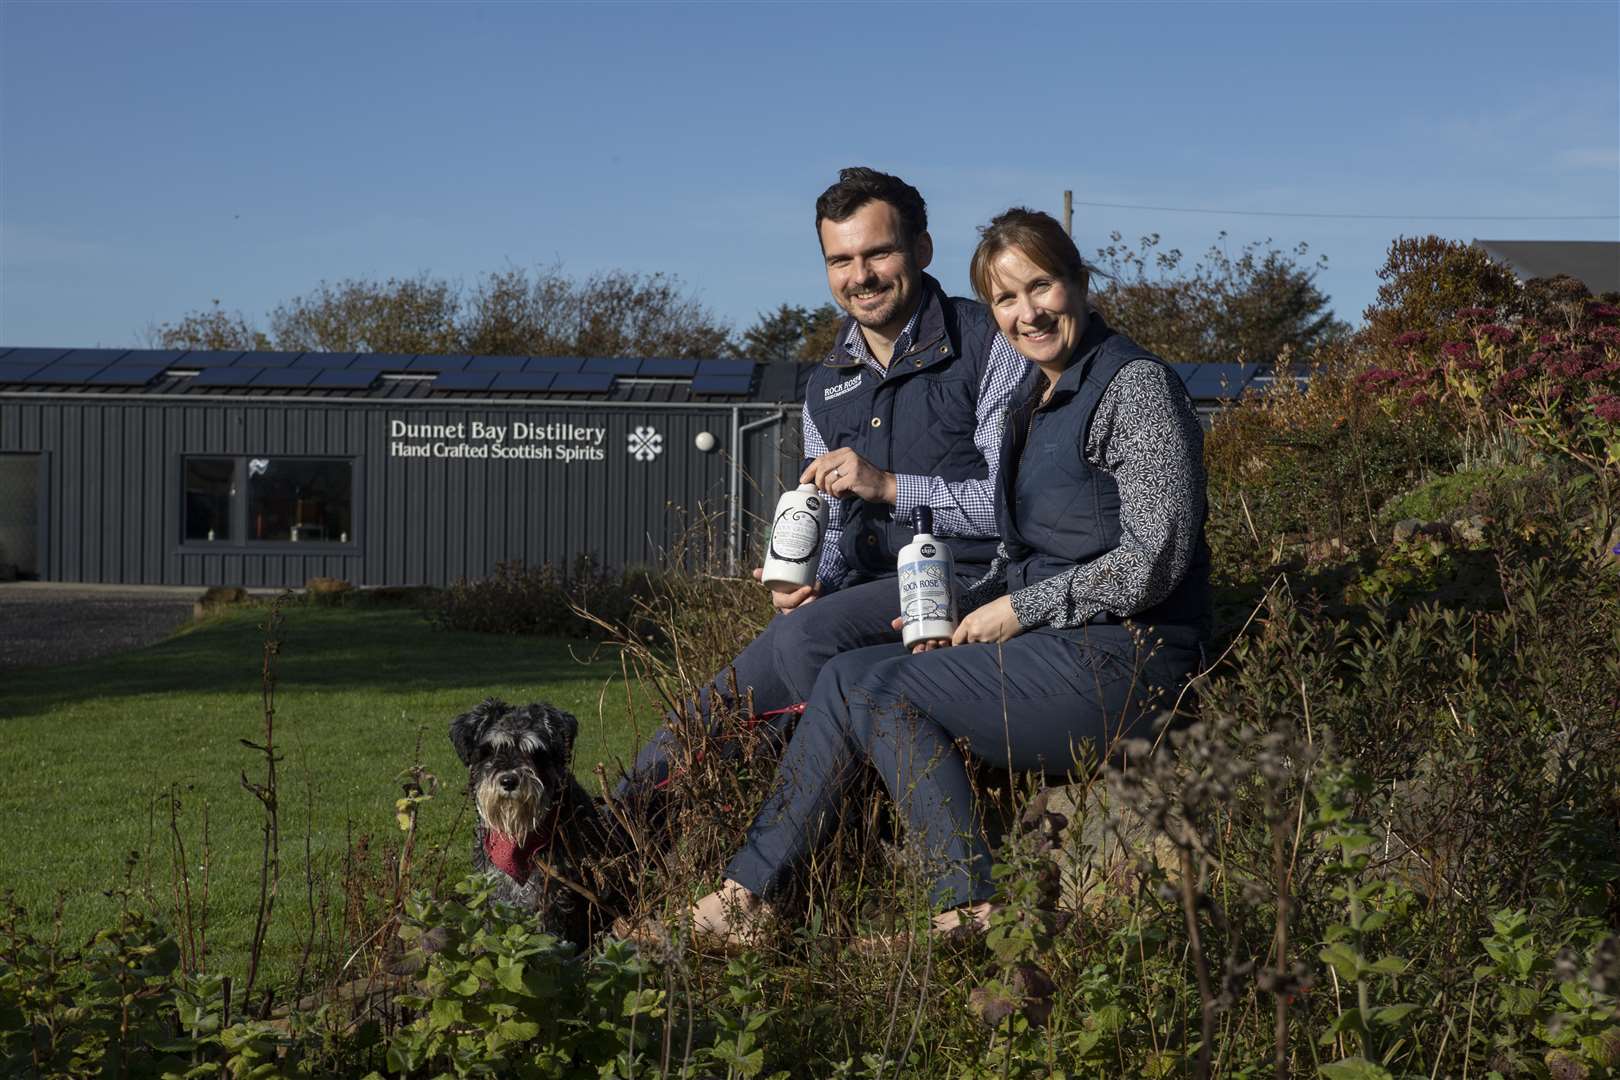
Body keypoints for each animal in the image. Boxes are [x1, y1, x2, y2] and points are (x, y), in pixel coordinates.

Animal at [450, 702, 625, 945]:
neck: (518, 836)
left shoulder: (550, 890)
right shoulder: (494, 884)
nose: (509, 781)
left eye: (535, 752)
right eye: (489, 751)